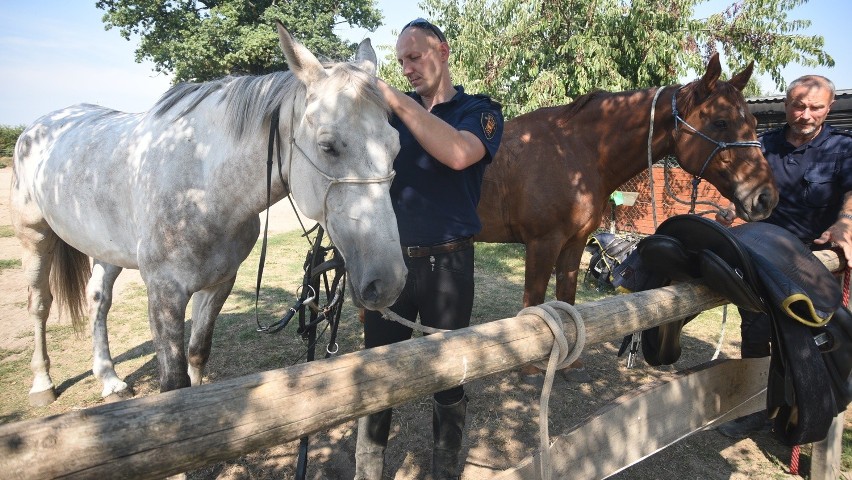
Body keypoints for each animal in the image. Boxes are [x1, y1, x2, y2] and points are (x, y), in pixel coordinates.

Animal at [6, 21, 406, 404]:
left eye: (396, 146)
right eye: (328, 146)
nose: (388, 282)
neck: (201, 187)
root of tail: (38, 126)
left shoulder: (219, 283)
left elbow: (198, 354)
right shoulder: (164, 293)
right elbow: (174, 383)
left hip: (106, 248)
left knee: (97, 299)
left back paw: (109, 379)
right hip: (34, 238)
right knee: (39, 304)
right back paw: (42, 384)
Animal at [480, 55, 780, 312]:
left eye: (753, 120)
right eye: (721, 122)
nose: (765, 197)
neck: (572, 151)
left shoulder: (573, 245)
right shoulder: (542, 245)